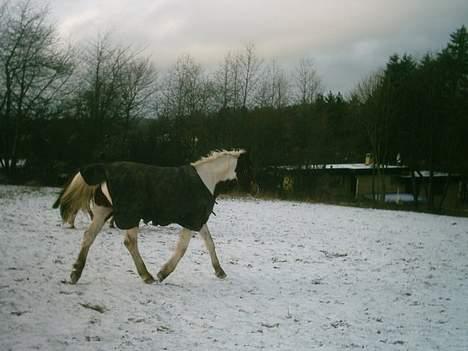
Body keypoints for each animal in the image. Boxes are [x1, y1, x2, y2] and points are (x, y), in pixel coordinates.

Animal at [56, 150, 258, 284]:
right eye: (248, 168)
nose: (256, 190)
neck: (207, 180)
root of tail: (105, 169)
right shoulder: (191, 221)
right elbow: (182, 248)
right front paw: (163, 273)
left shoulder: (198, 221)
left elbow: (210, 243)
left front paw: (219, 271)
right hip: (130, 215)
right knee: (129, 242)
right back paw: (147, 275)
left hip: (103, 211)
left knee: (88, 236)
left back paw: (76, 272)